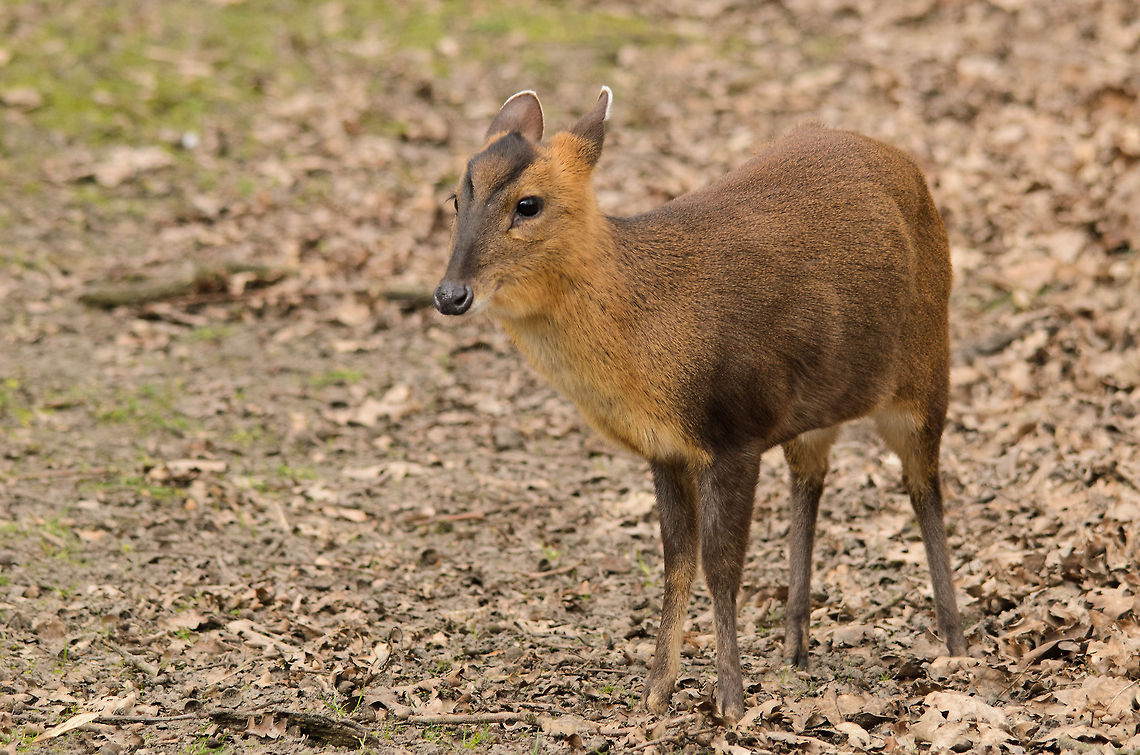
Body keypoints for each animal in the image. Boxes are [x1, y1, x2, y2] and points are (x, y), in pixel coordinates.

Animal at [433, 86, 967, 724]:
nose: (450, 294)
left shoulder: (734, 431)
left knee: (924, 486)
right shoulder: (665, 450)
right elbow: (676, 562)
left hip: (925, 370)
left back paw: (957, 643)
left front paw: (730, 700)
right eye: (455, 197)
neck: (650, 339)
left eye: (529, 204)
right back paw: (795, 647)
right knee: (811, 478)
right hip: (816, 406)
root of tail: (905, 164)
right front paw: (654, 694)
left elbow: (722, 566)